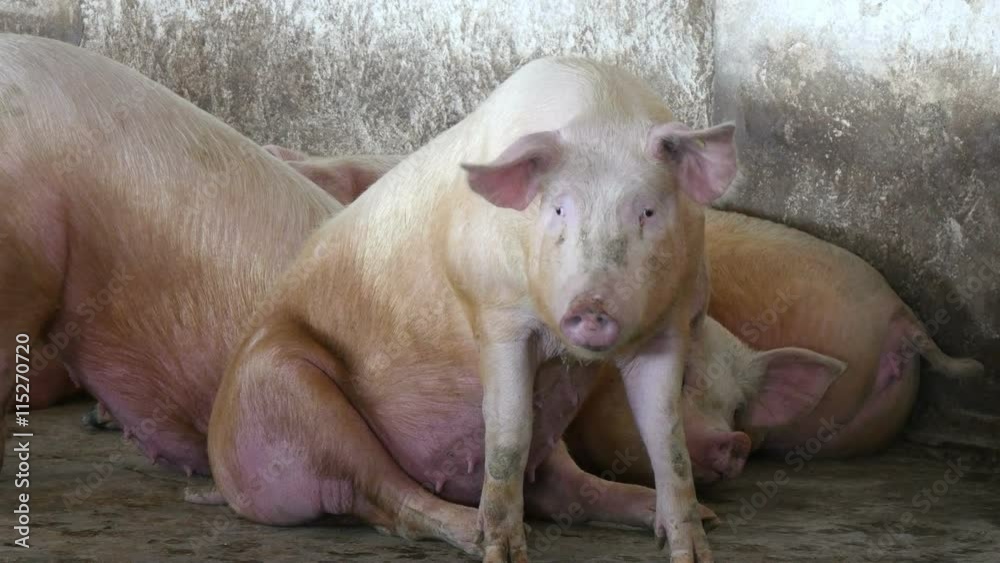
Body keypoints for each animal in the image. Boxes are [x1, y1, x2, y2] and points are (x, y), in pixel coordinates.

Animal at [207, 57, 738, 563]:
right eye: (558, 210)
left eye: (647, 211)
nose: (592, 305)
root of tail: (218, 449)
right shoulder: (496, 315)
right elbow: (507, 434)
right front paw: (501, 552)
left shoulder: (671, 325)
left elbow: (668, 441)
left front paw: (695, 549)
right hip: (284, 387)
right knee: (388, 498)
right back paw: (473, 530)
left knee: (565, 489)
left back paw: (700, 515)